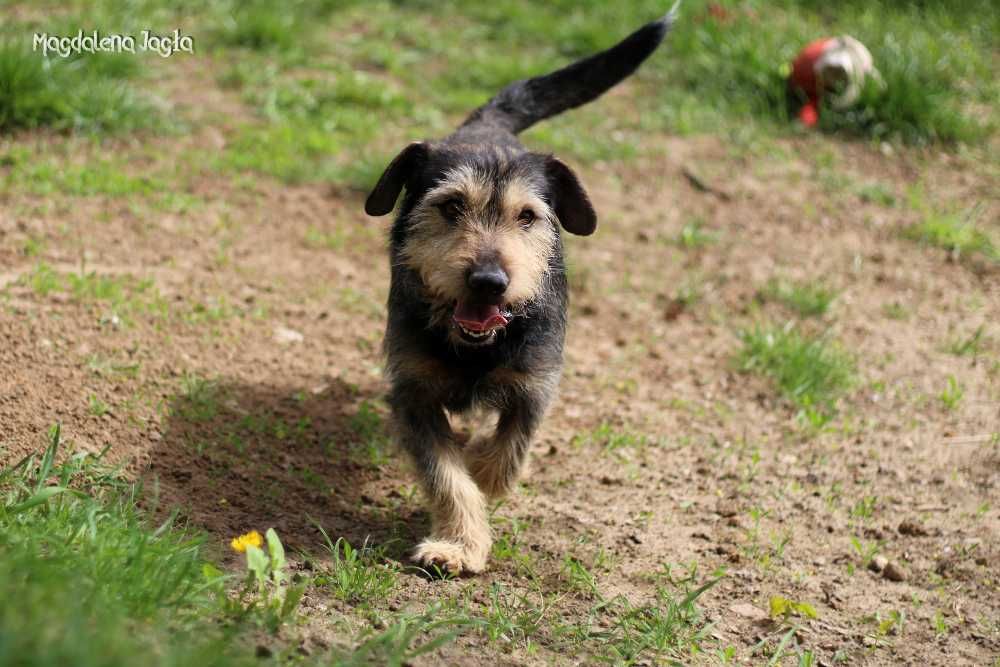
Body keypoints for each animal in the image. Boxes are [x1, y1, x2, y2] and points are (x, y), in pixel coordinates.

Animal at [364, 5, 676, 576]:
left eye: (527, 216)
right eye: (450, 206)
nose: (489, 281)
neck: (476, 347)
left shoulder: (536, 383)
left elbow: (507, 452)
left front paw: (482, 471)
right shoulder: (414, 390)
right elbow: (447, 475)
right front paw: (459, 543)